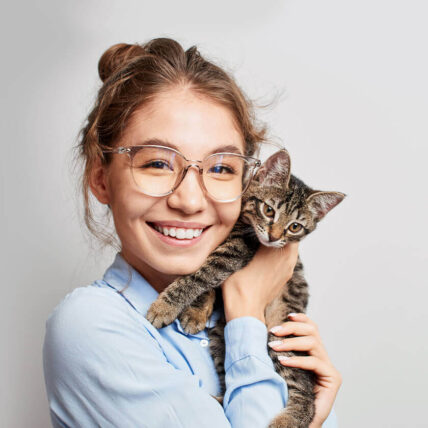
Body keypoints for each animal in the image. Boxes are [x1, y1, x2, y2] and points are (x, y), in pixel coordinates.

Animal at [146, 149, 345, 427]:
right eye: (268, 210)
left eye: (294, 227)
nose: (273, 237)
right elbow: (207, 282)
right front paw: (195, 313)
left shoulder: (237, 250)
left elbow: (198, 276)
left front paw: (165, 306)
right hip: (220, 337)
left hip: (280, 336)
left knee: (306, 393)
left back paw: (289, 419)